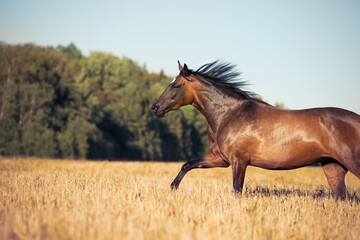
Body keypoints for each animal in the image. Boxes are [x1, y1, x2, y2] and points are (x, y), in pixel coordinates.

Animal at [152, 60, 360, 199]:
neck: (229, 115)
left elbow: (237, 191)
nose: (155, 107)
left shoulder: (239, 161)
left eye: (176, 85)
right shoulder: (221, 159)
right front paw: (173, 188)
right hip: (333, 167)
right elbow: (187, 165)